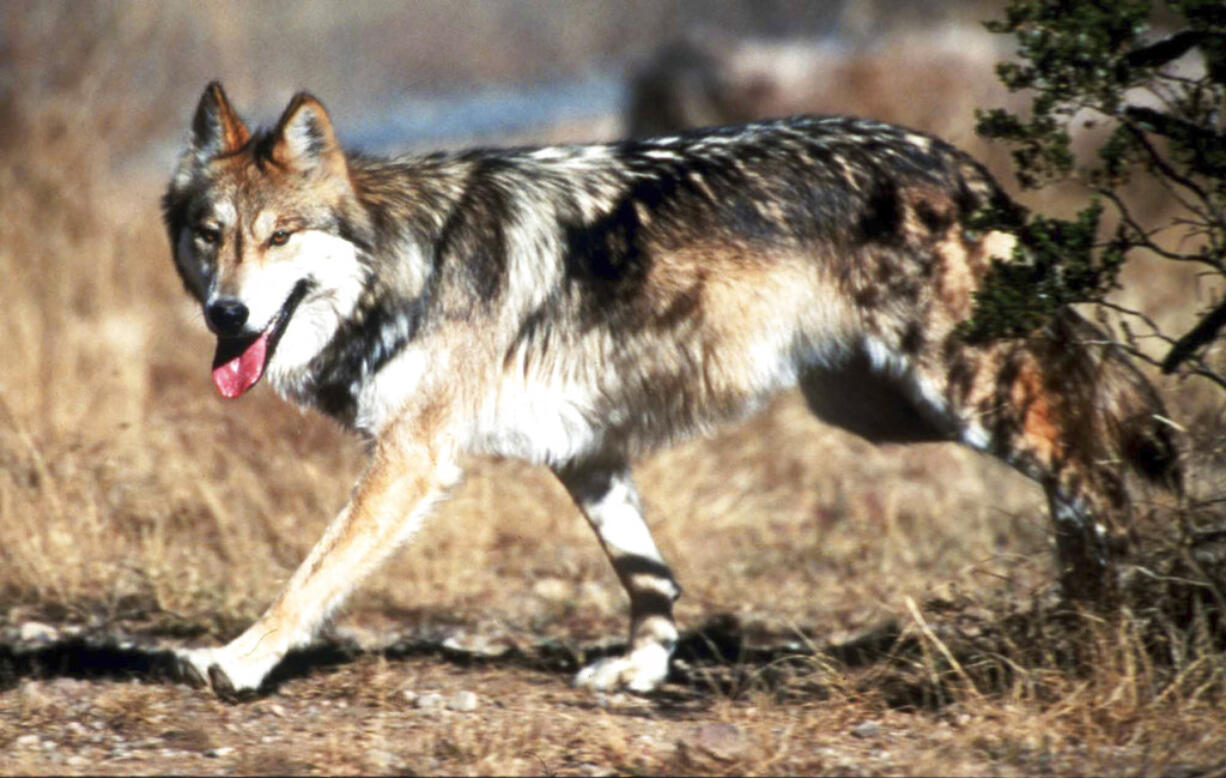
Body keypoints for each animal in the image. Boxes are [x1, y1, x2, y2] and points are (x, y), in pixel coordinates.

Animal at [160, 83, 1176, 700]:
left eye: (280, 236)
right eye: (212, 235)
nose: (225, 313)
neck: (405, 263)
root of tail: (956, 160)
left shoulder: (411, 460)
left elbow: (310, 575)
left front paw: (235, 661)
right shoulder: (586, 455)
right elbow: (649, 576)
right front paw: (642, 671)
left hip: (958, 392)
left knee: (1094, 469)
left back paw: (1127, 626)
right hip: (879, 412)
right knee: (1076, 458)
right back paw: (1092, 618)